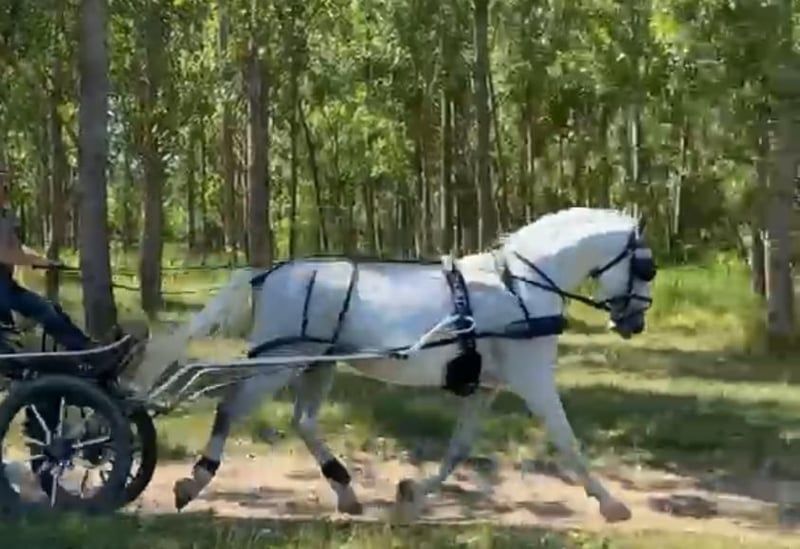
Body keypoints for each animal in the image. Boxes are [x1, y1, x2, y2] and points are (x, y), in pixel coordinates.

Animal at [142, 207, 657, 523]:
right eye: (645, 267)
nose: (634, 323)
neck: (520, 285)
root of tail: (267, 273)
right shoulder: (533, 379)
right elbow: (568, 442)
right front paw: (611, 503)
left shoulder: (486, 387)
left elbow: (458, 448)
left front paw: (413, 495)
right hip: (279, 361)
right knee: (231, 407)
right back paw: (194, 482)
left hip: (318, 364)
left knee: (304, 421)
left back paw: (346, 491)